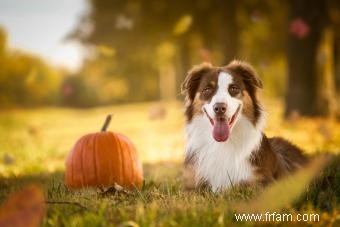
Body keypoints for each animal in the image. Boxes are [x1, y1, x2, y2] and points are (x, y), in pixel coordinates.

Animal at [182, 60, 310, 192]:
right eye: (207, 89)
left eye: (233, 88)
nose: (219, 108)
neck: (223, 144)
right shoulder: (191, 185)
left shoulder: (264, 183)